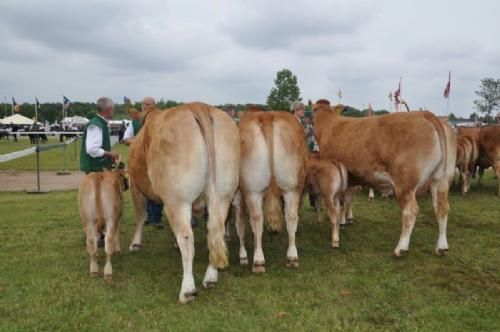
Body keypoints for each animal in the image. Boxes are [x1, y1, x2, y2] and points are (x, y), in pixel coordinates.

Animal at [127, 102, 240, 304]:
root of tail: (198, 105)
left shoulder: (134, 184)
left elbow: (141, 215)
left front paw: (135, 244)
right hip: (223, 195)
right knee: (215, 232)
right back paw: (211, 278)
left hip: (177, 200)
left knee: (187, 239)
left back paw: (187, 290)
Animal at [235, 109, 308, 272]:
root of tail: (267, 116)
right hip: (292, 187)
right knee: (291, 217)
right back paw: (292, 257)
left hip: (252, 190)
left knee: (256, 219)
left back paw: (258, 261)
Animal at [312, 99, 458, 256]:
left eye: (313, 110)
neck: (329, 124)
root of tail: (426, 114)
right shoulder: (351, 177)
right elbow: (349, 198)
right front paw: (347, 219)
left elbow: (341, 201)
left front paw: (341, 222)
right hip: (442, 179)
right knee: (442, 208)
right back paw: (441, 247)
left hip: (405, 183)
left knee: (410, 211)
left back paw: (401, 248)